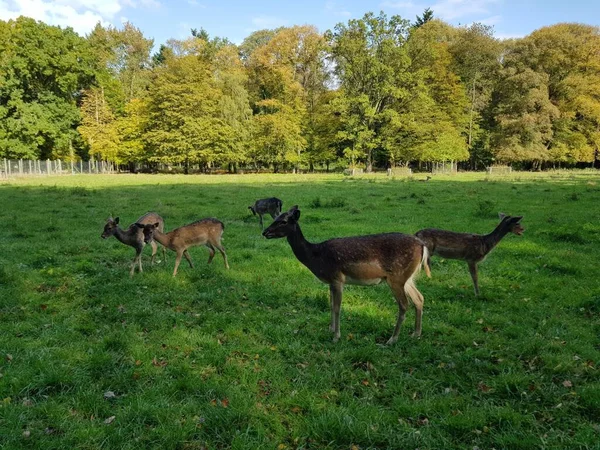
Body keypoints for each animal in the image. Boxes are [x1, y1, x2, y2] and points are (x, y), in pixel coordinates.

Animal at [262, 206, 426, 342]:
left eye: (283, 221)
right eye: (275, 217)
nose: (264, 232)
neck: (316, 257)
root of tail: (422, 245)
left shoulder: (337, 278)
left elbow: (337, 307)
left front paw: (336, 337)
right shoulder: (330, 281)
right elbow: (330, 304)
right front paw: (331, 329)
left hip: (396, 276)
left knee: (404, 304)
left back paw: (392, 339)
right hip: (407, 278)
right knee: (419, 298)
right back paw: (416, 334)